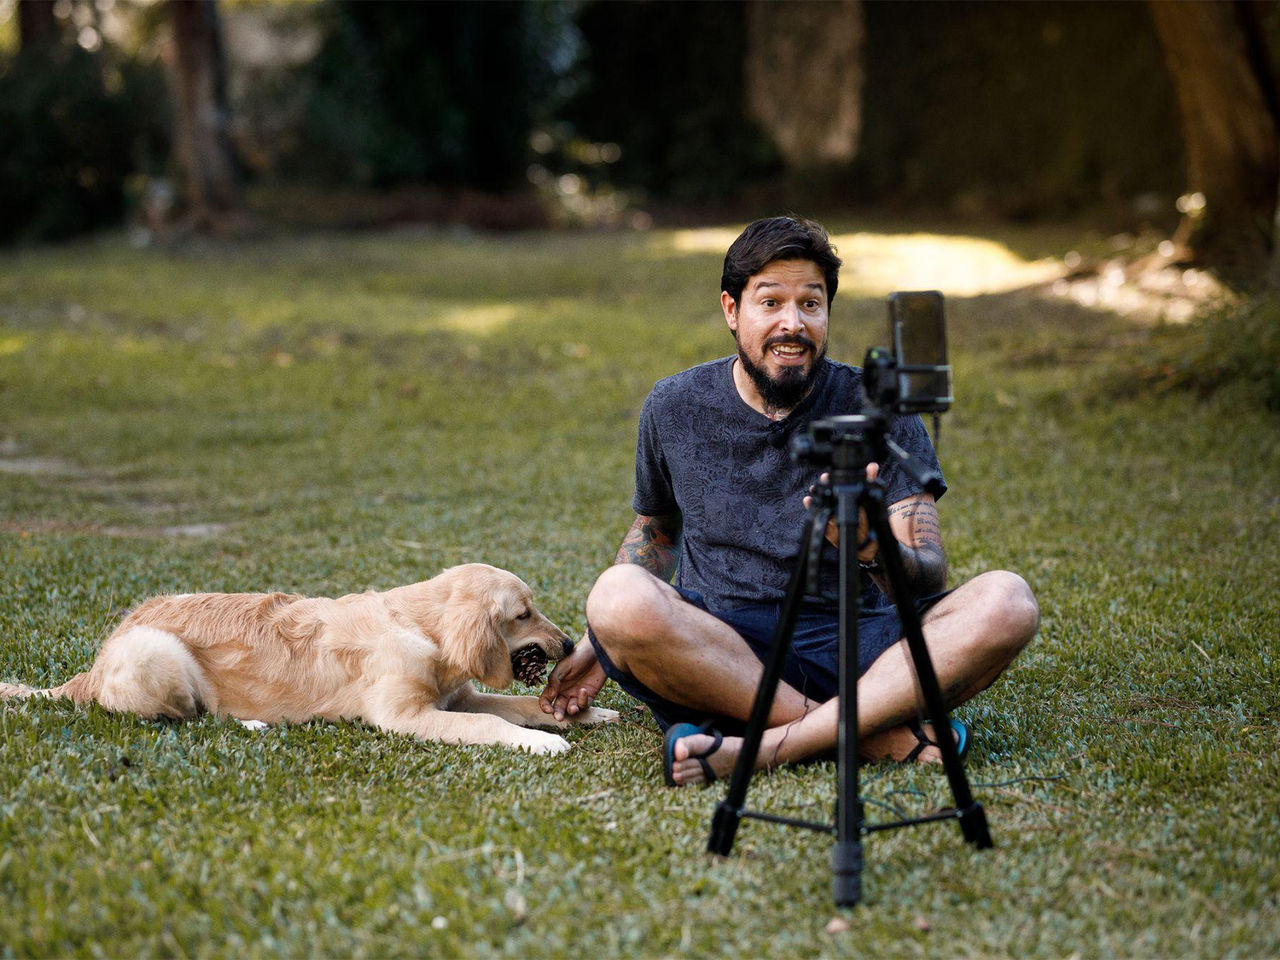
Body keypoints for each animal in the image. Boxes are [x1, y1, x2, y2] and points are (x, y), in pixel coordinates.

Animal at [0, 563, 619, 757]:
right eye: (524, 614)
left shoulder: (457, 696)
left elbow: (514, 703)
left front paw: (582, 712)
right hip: (156, 652)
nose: (571, 646)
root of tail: (92, 668)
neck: (421, 628)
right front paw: (541, 741)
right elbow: (491, 724)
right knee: (188, 718)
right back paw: (253, 723)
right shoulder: (407, 716)